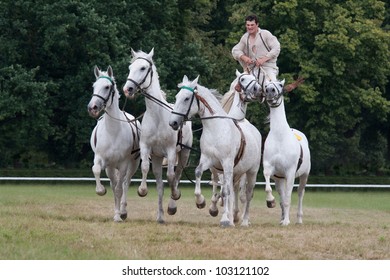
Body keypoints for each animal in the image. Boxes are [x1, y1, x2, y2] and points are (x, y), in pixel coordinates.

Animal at [88, 65, 140, 221]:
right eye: (94, 86)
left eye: (107, 86)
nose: (92, 107)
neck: (113, 132)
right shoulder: (102, 160)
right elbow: (96, 170)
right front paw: (101, 190)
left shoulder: (123, 164)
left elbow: (119, 189)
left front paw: (118, 216)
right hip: (111, 168)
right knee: (115, 183)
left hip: (133, 164)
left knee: (125, 183)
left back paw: (123, 211)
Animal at [122, 47, 193, 223]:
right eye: (130, 68)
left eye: (143, 68)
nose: (128, 89)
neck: (158, 117)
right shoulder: (146, 148)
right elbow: (145, 168)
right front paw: (142, 190)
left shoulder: (171, 151)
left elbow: (172, 176)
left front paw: (174, 198)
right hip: (158, 157)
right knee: (160, 185)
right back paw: (160, 216)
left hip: (184, 154)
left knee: (177, 175)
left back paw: (172, 205)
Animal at [168, 75, 262, 228]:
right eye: (177, 97)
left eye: (187, 98)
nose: (173, 123)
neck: (216, 129)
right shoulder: (209, 161)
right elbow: (198, 173)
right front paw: (200, 201)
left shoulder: (227, 164)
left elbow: (225, 192)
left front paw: (224, 220)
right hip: (235, 173)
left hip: (251, 172)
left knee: (247, 195)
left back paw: (244, 221)